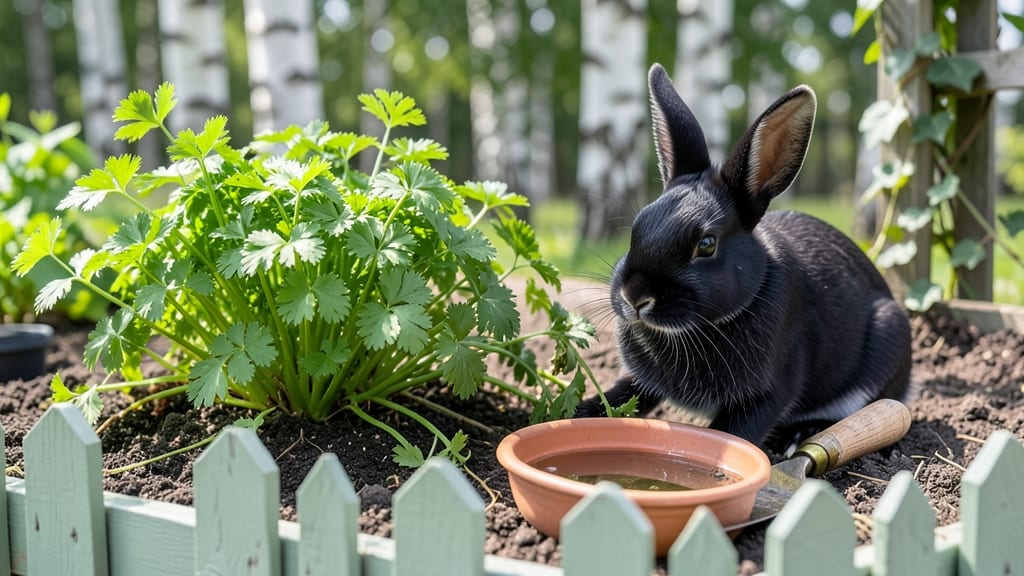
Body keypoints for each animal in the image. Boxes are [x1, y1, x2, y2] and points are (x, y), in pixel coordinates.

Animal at [574, 63, 912, 450]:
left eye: (706, 245)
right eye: (637, 226)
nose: (635, 296)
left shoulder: (769, 390)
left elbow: (732, 431)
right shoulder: (640, 380)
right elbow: (621, 395)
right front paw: (576, 414)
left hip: (886, 341)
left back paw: (799, 435)